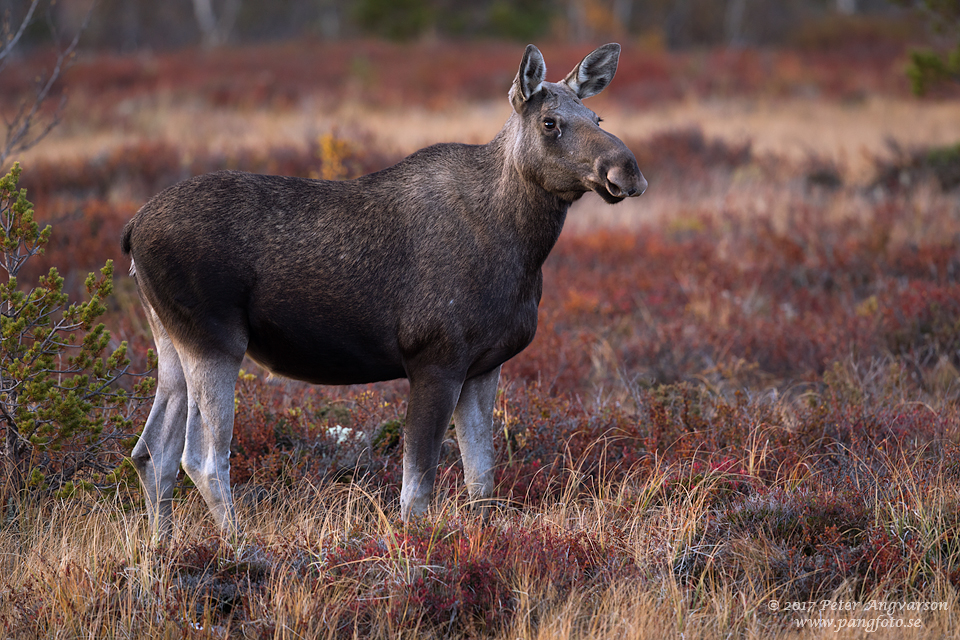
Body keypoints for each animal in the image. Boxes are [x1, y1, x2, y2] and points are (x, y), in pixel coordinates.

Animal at [120, 42, 644, 536]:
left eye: (597, 117)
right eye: (551, 122)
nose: (627, 171)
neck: (523, 248)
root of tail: (131, 230)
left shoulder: (484, 366)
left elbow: (481, 480)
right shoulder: (435, 359)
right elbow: (417, 489)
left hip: (171, 341)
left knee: (151, 452)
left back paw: (164, 546)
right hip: (216, 340)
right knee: (202, 459)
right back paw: (237, 546)